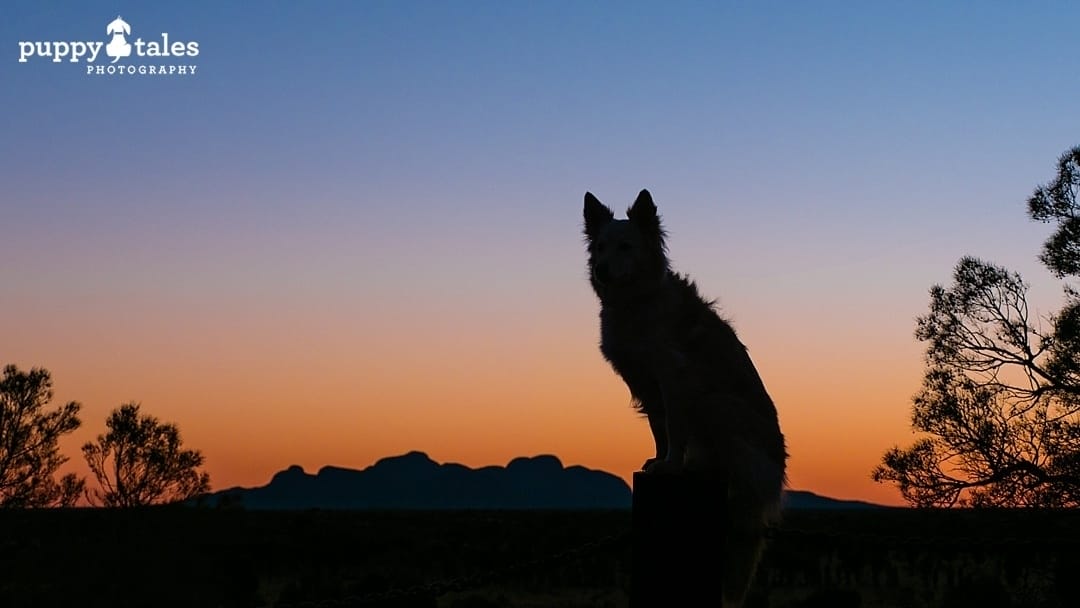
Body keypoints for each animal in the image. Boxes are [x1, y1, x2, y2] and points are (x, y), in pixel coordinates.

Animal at [587, 187, 790, 604]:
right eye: (599, 247)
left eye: (626, 246)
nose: (600, 270)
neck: (635, 302)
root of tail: (774, 476)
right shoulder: (648, 385)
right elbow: (660, 429)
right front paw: (658, 460)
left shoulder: (674, 378)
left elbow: (676, 429)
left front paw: (671, 465)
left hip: (718, 404)